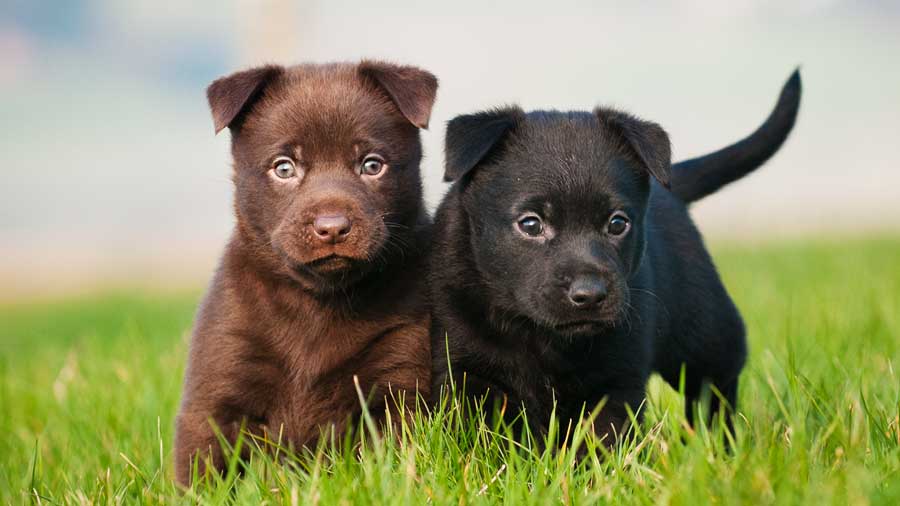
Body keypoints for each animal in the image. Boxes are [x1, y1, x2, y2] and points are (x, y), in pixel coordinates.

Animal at [174, 61, 438, 484]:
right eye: (284, 168)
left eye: (372, 165)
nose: (332, 227)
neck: (318, 300)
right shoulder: (216, 392)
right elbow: (202, 470)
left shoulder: (401, 377)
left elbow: (394, 457)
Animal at [428, 69, 800, 440]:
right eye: (530, 224)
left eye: (617, 223)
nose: (590, 294)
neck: (545, 336)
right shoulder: (466, 367)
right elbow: (483, 431)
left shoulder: (616, 378)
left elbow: (603, 436)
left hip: (705, 333)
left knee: (715, 386)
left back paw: (717, 441)